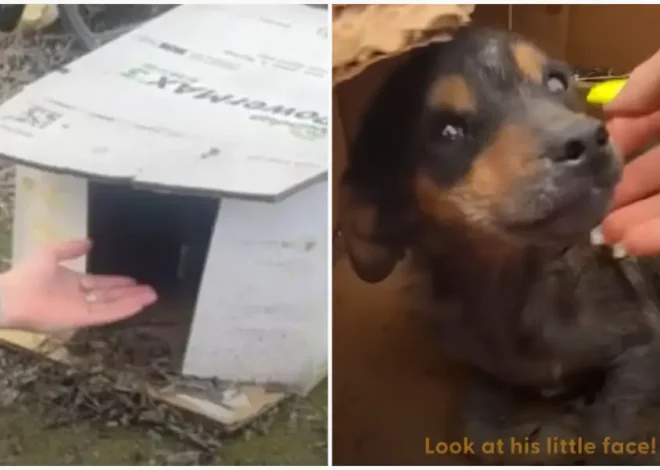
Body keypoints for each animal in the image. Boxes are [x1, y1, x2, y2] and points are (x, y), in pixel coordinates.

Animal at [338, 27, 660, 464]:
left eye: (556, 82)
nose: (588, 140)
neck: (514, 285)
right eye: (447, 131)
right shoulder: (479, 369)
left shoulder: (643, 345)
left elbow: (609, 429)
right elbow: (474, 431)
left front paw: (573, 428)